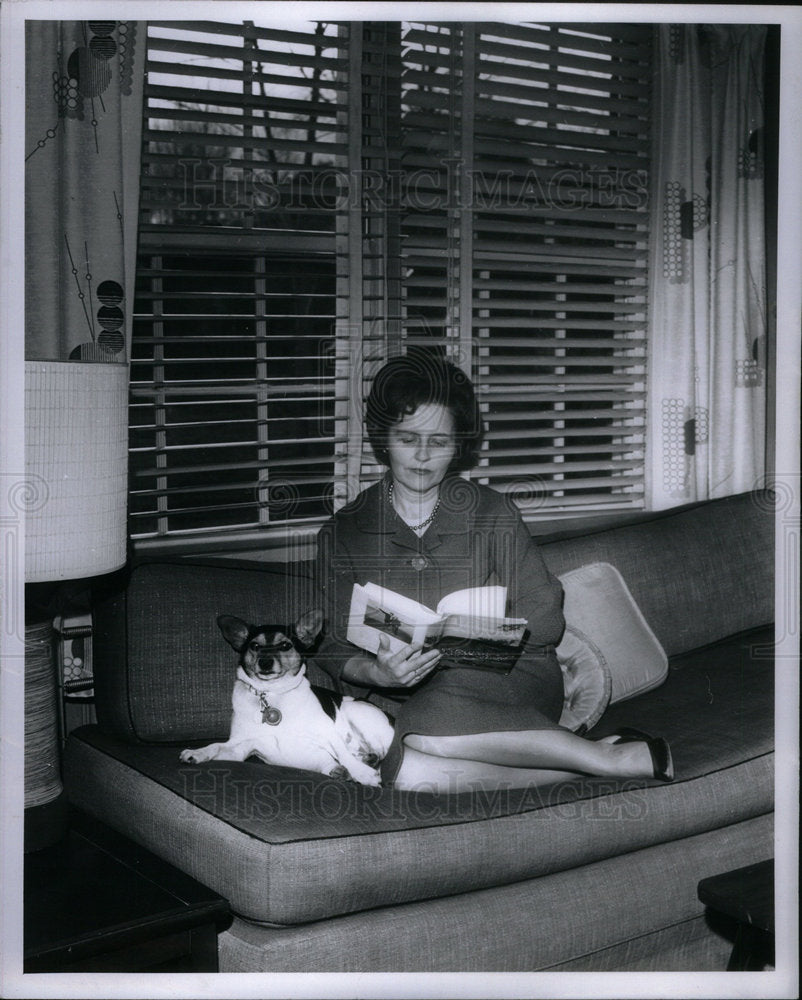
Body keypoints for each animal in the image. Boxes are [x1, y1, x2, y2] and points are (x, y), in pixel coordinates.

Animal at [180, 604, 396, 784]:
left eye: (285, 645)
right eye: (254, 646)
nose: (265, 662)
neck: (273, 694)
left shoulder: (328, 733)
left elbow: (342, 752)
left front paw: (362, 773)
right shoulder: (240, 748)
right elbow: (216, 745)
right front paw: (197, 752)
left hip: (354, 709)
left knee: (379, 751)